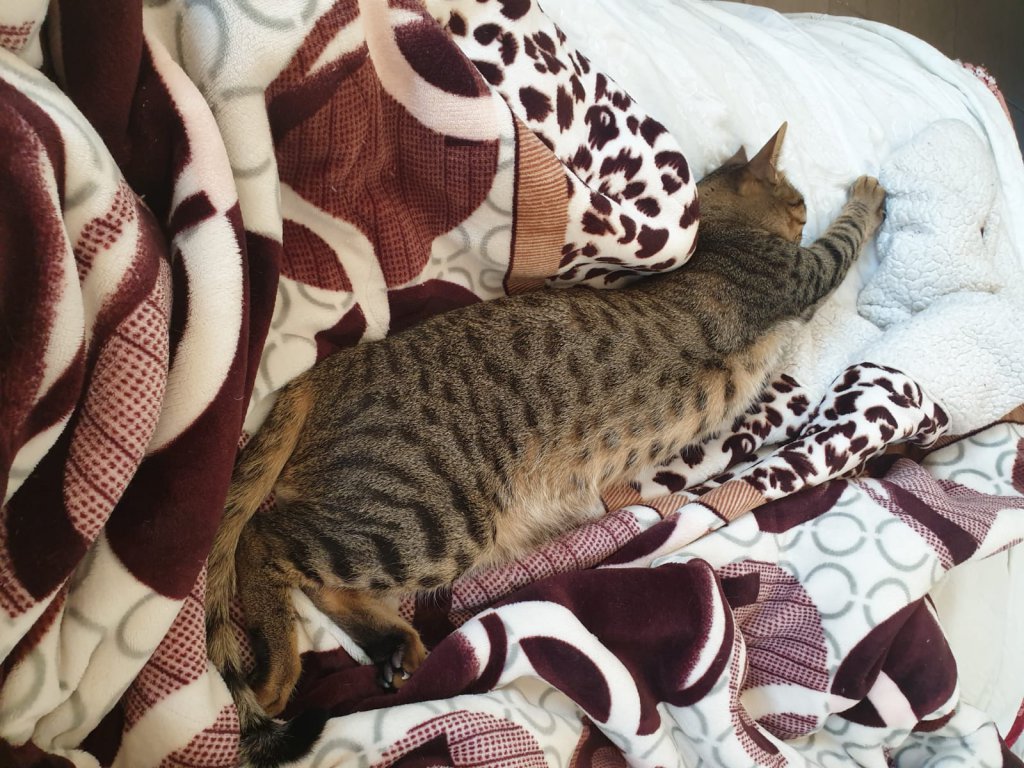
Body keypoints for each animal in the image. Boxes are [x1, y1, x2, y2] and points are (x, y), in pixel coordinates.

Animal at [205, 123, 886, 767]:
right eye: (798, 199)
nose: (803, 209)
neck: (719, 238)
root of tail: (328, 370)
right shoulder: (801, 274)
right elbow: (844, 237)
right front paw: (870, 195)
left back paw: (392, 646)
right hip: (429, 519)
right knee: (263, 541)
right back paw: (280, 671)